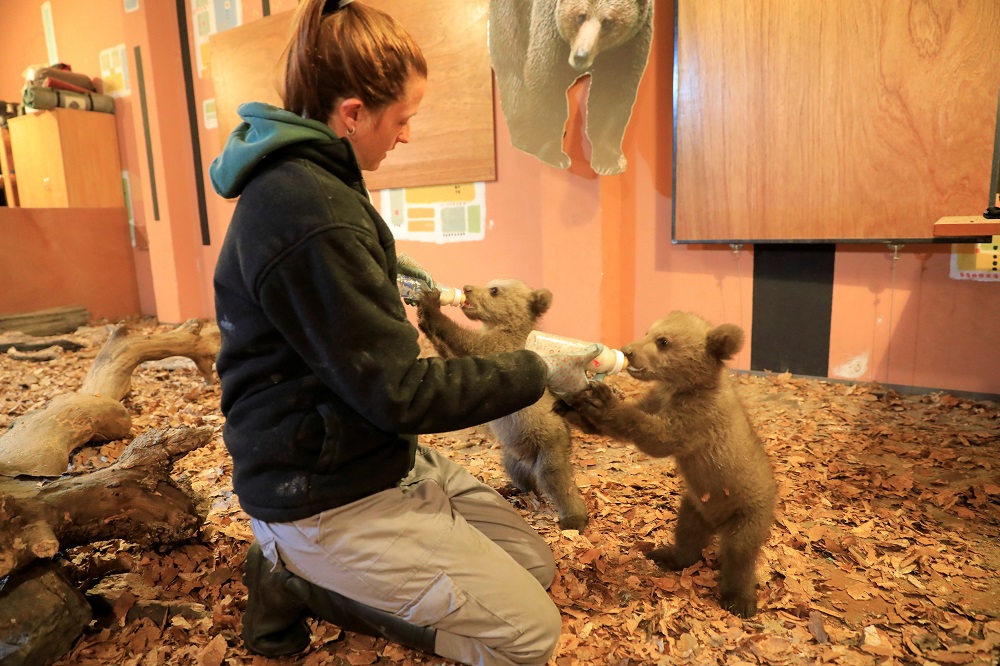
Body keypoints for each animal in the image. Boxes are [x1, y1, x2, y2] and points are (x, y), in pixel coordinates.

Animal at [416, 278, 590, 531]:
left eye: (494, 290)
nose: (467, 287)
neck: (503, 327)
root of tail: (529, 460)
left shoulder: (501, 348)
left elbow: (469, 344)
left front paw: (430, 306)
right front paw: (423, 322)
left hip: (549, 445)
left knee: (555, 479)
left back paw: (574, 517)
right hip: (513, 456)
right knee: (521, 475)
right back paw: (513, 489)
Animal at [488, 0, 654, 175]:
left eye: (608, 22)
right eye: (580, 16)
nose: (581, 55)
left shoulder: (629, 44)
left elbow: (613, 94)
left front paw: (608, 161)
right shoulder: (551, 27)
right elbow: (546, 78)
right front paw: (554, 154)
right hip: (511, 16)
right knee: (513, 69)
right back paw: (525, 137)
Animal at [554, 311, 776, 617]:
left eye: (663, 341)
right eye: (648, 331)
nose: (628, 350)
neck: (685, 387)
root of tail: (717, 523)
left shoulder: (697, 418)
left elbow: (656, 436)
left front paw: (603, 400)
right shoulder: (659, 398)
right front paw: (570, 403)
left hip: (747, 512)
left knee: (739, 554)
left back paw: (740, 600)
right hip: (695, 505)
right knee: (688, 534)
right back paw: (667, 555)